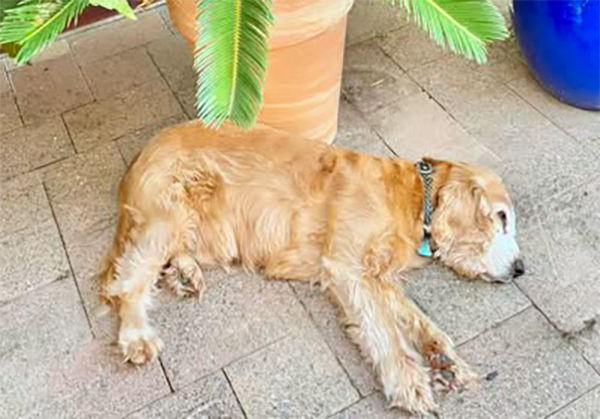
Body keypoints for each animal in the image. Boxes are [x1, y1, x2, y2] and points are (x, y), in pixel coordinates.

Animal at [99, 120, 524, 414]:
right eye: (501, 218)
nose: (521, 268)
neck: (413, 199)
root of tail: (139, 156)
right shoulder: (349, 267)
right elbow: (384, 330)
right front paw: (408, 381)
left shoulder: (379, 275)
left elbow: (414, 317)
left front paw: (443, 357)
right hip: (168, 211)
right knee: (127, 281)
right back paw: (136, 334)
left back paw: (184, 272)